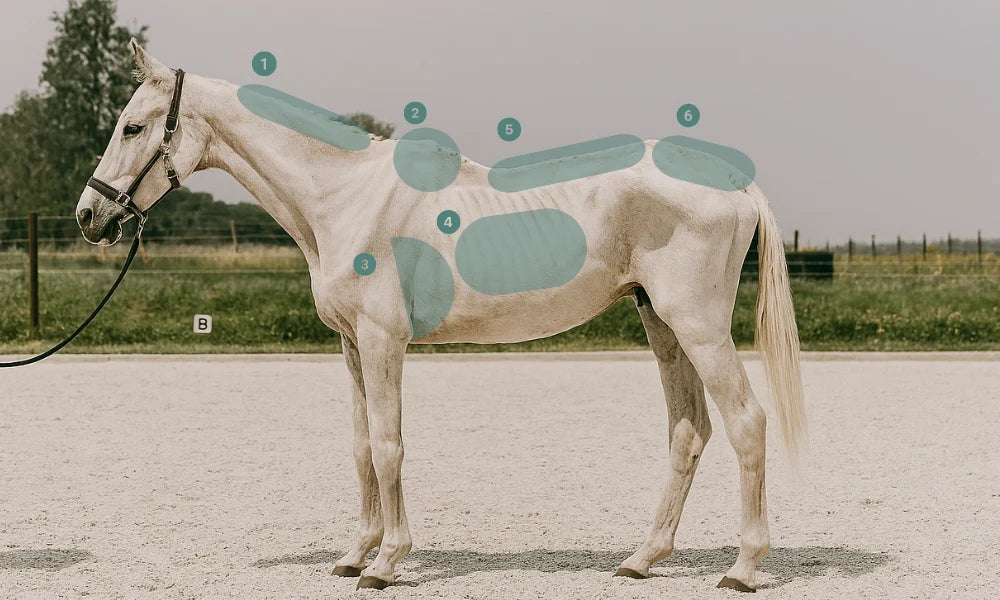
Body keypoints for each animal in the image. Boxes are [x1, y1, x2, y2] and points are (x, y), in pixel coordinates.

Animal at [75, 40, 806, 592]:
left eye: (132, 126)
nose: (90, 214)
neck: (346, 196)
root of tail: (731, 181)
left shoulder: (382, 342)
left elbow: (390, 445)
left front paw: (387, 563)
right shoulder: (350, 347)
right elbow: (363, 447)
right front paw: (354, 555)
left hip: (698, 325)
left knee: (746, 422)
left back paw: (743, 568)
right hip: (660, 323)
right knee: (688, 431)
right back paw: (641, 559)